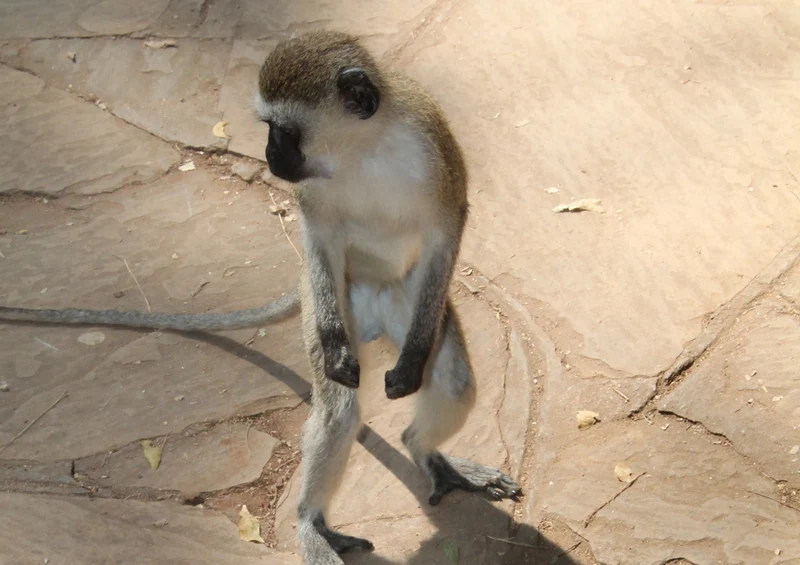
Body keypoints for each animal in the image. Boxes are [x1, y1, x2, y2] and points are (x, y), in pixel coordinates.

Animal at [0, 30, 522, 563]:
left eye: (284, 130)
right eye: (270, 129)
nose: (269, 154)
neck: (363, 146)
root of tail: (375, 312)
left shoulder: (431, 145)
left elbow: (445, 231)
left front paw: (414, 358)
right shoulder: (319, 204)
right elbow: (319, 236)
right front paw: (337, 352)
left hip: (408, 300)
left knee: (454, 383)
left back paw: (423, 449)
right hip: (334, 300)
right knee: (338, 410)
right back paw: (313, 522)